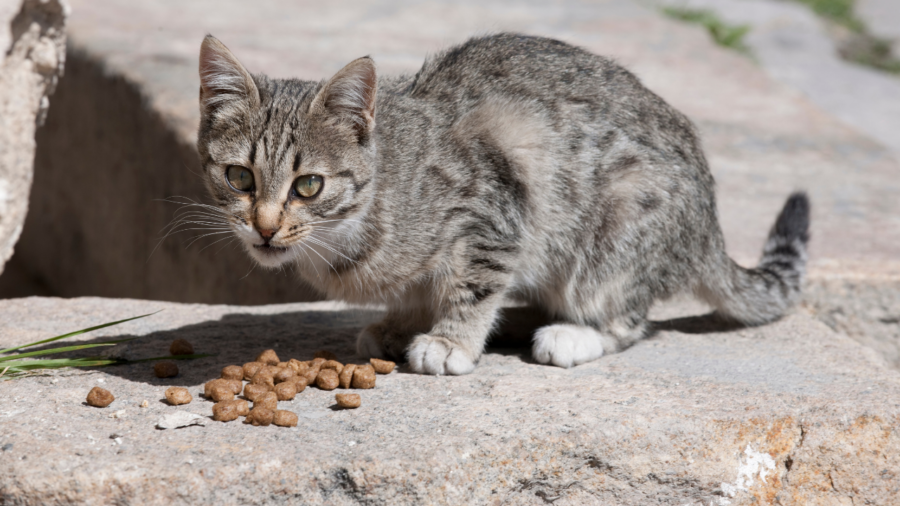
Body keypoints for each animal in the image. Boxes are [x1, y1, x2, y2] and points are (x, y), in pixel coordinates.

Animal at [195, 33, 808, 374]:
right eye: (239, 177)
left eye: (308, 186)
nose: (265, 228)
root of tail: (711, 228)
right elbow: (421, 289)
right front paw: (403, 323)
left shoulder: (496, 200)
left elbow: (474, 281)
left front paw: (451, 340)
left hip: (618, 226)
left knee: (627, 317)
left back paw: (572, 334)